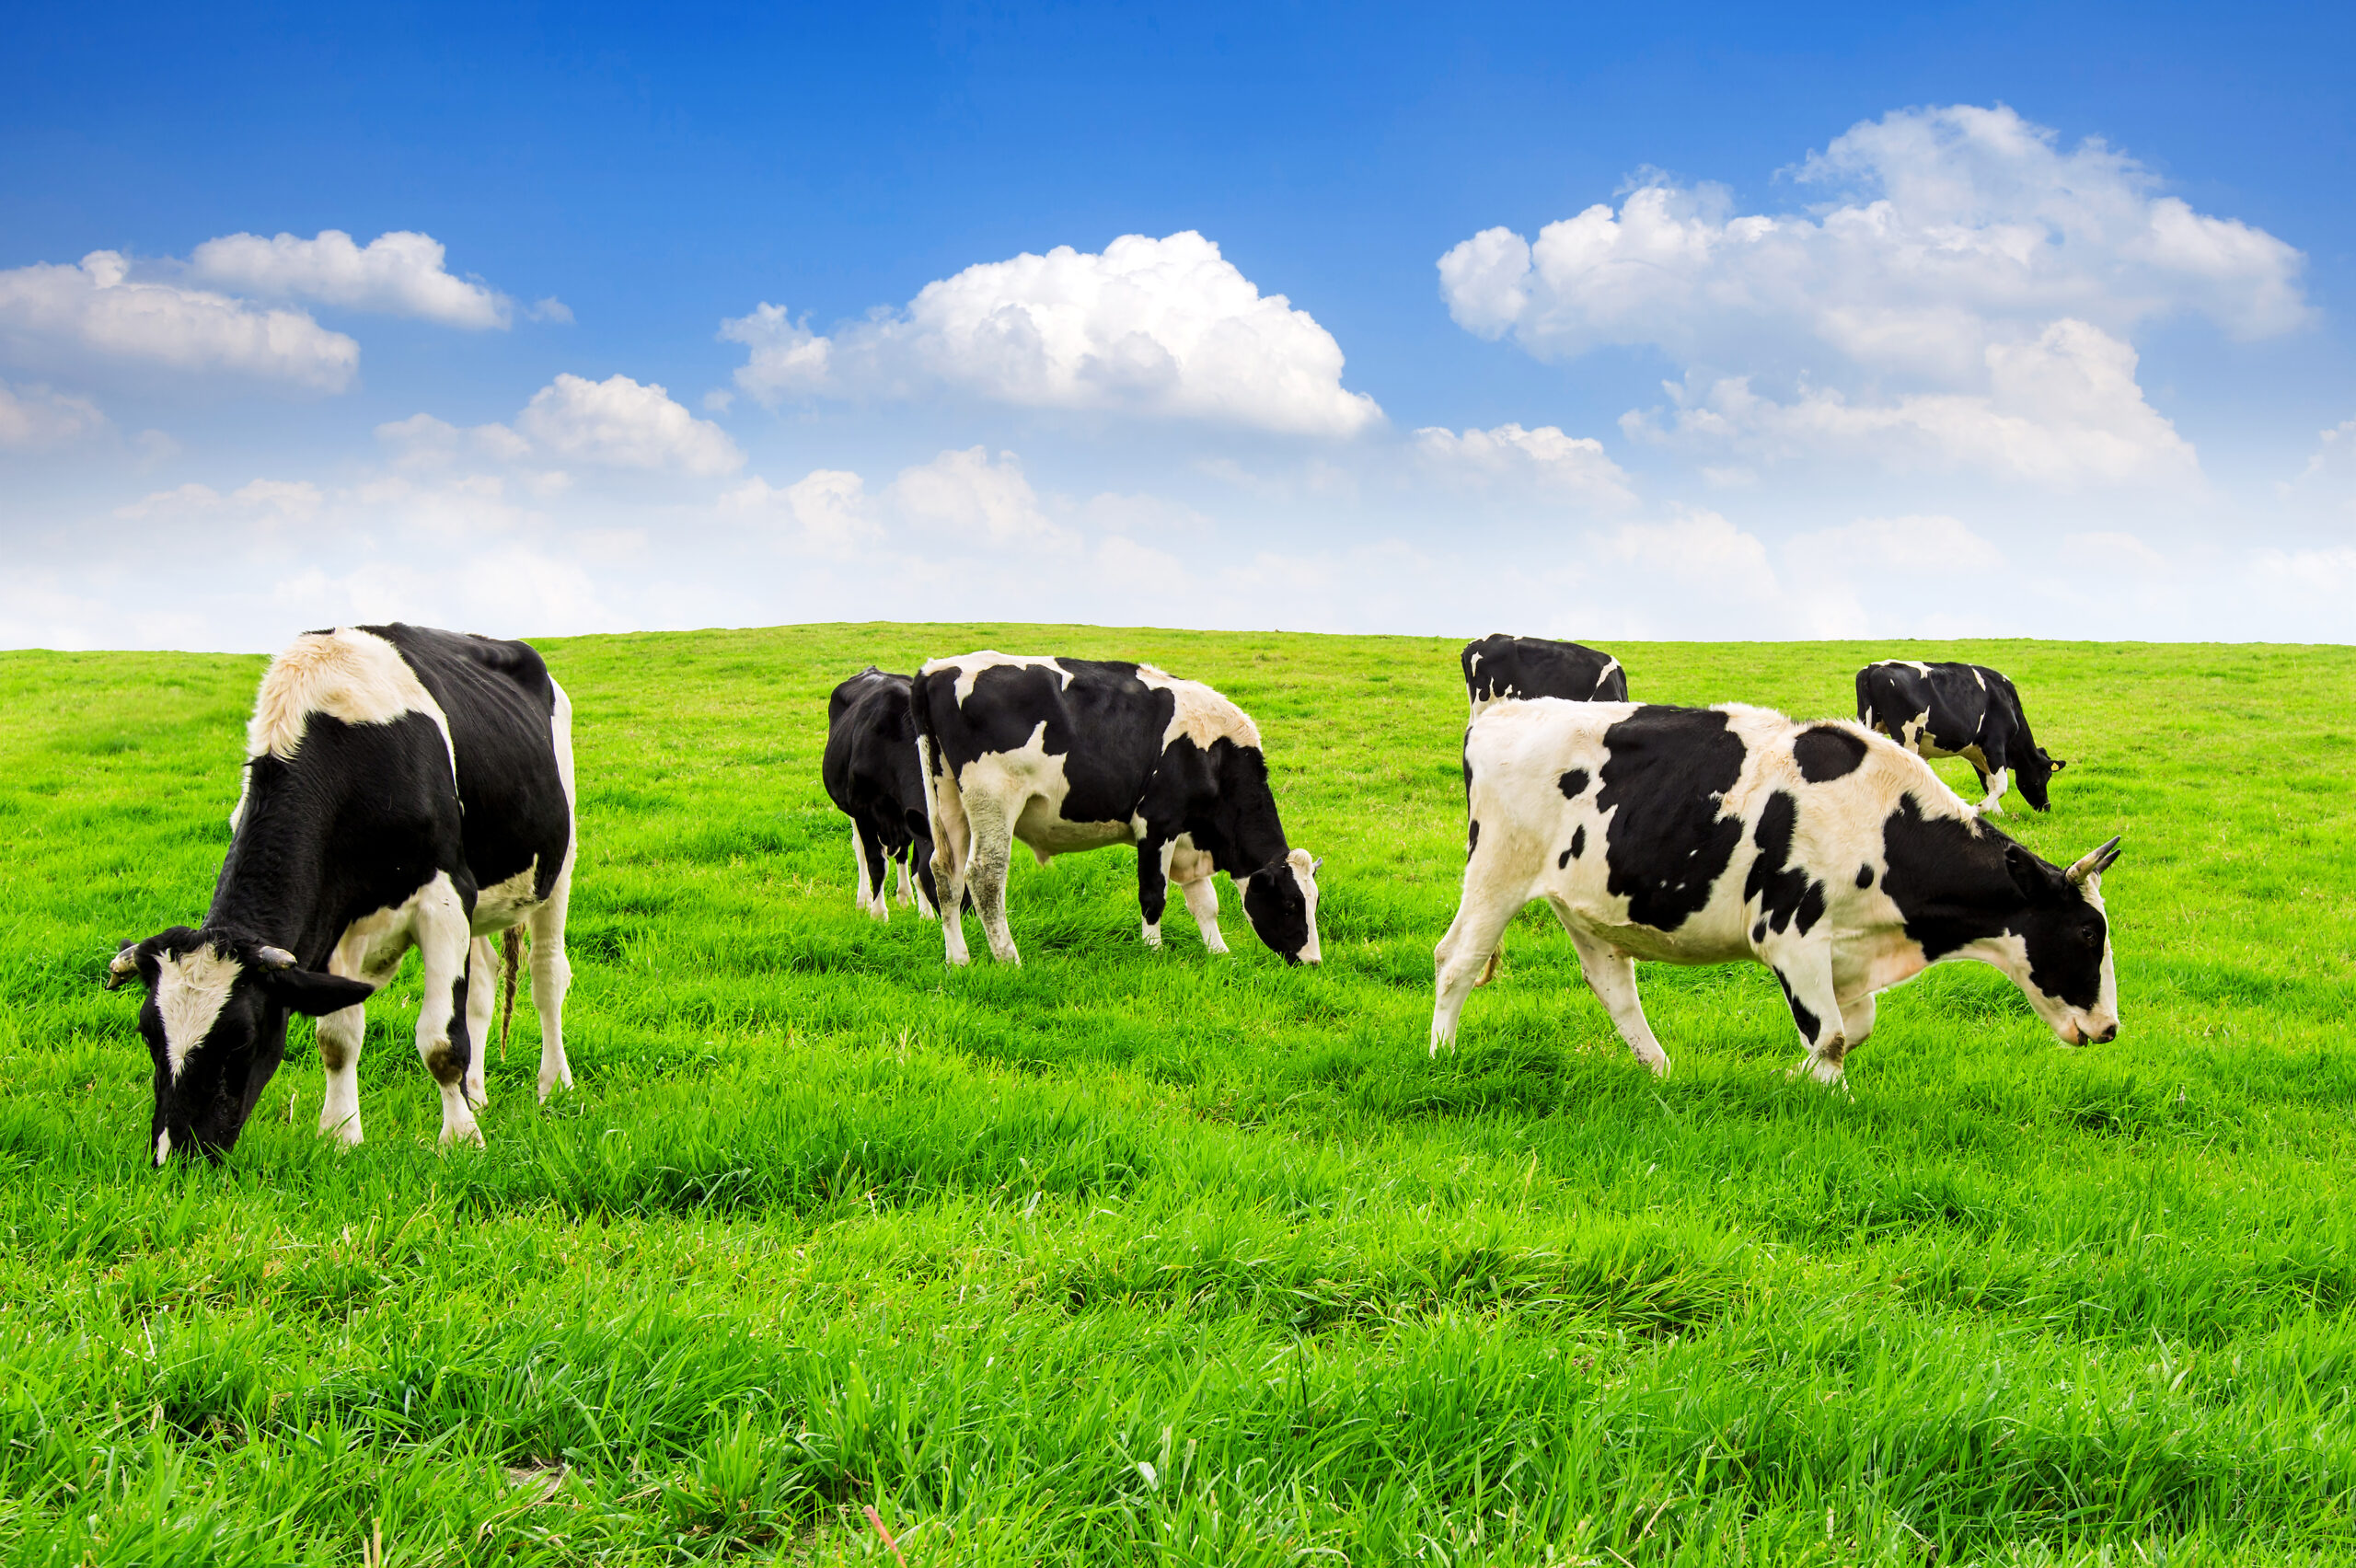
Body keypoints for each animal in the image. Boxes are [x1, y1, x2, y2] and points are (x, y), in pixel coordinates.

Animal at [103, 624, 577, 1165]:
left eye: (241, 1039)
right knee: (482, 980)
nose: (174, 1154)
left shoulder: (444, 895)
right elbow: (336, 1037)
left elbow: (440, 1041)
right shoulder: (335, 920)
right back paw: (476, 1093)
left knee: (546, 975)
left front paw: (460, 1140)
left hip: (559, 861)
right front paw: (339, 1136)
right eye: (147, 1032)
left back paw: (553, 1086)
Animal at [823, 666, 944, 920]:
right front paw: (878, 914)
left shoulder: (913, 817)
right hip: (851, 810)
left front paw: (925, 913)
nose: (969, 912)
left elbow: (915, 864)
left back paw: (905, 897)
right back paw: (863, 899)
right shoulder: (863, 813)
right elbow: (876, 863)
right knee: (859, 849)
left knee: (901, 853)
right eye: (938, 873)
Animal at [909, 652, 1322, 967]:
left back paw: (958, 959)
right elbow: (1154, 894)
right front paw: (1153, 951)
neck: (1215, 756)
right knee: (985, 876)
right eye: (1289, 904)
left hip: (947, 796)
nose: (1313, 962)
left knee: (944, 872)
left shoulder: (1190, 837)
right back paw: (1009, 959)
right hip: (993, 798)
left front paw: (1219, 952)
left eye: (1315, 901)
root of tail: (937, 670)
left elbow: (1206, 903)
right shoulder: (1157, 824)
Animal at [1433, 698, 2122, 1084]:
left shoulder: (1847, 954)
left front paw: (1791, 1076)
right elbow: (1834, 1035)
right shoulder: (1791, 934)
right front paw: (1824, 1095)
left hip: (1589, 903)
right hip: (1497, 870)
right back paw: (1443, 1057)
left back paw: (1662, 1073)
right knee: (1457, 960)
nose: (2111, 1028)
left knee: (1614, 988)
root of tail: (1498, 714)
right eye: (2088, 931)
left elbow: (1853, 1029)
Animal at [1856, 660, 2065, 815]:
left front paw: (1997, 814)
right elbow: (2001, 785)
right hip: (1907, 733)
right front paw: (1980, 808)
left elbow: (1989, 783)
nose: (2046, 807)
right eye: (2046, 775)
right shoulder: (1995, 745)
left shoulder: (1977, 752)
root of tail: (1873, 668)